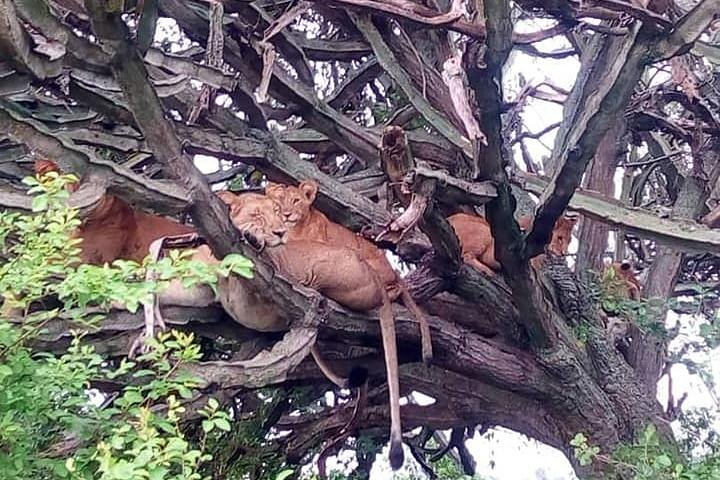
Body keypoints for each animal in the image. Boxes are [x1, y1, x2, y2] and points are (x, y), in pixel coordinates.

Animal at [265, 179, 432, 364]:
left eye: (296, 200)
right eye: (278, 203)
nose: (286, 214)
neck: (294, 231)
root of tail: (393, 271)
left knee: (392, 289)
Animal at [448, 212, 578, 274]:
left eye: (570, 241)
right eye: (560, 238)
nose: (564, 253)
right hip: (484, 231)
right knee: (466, 256)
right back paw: (487, 271)